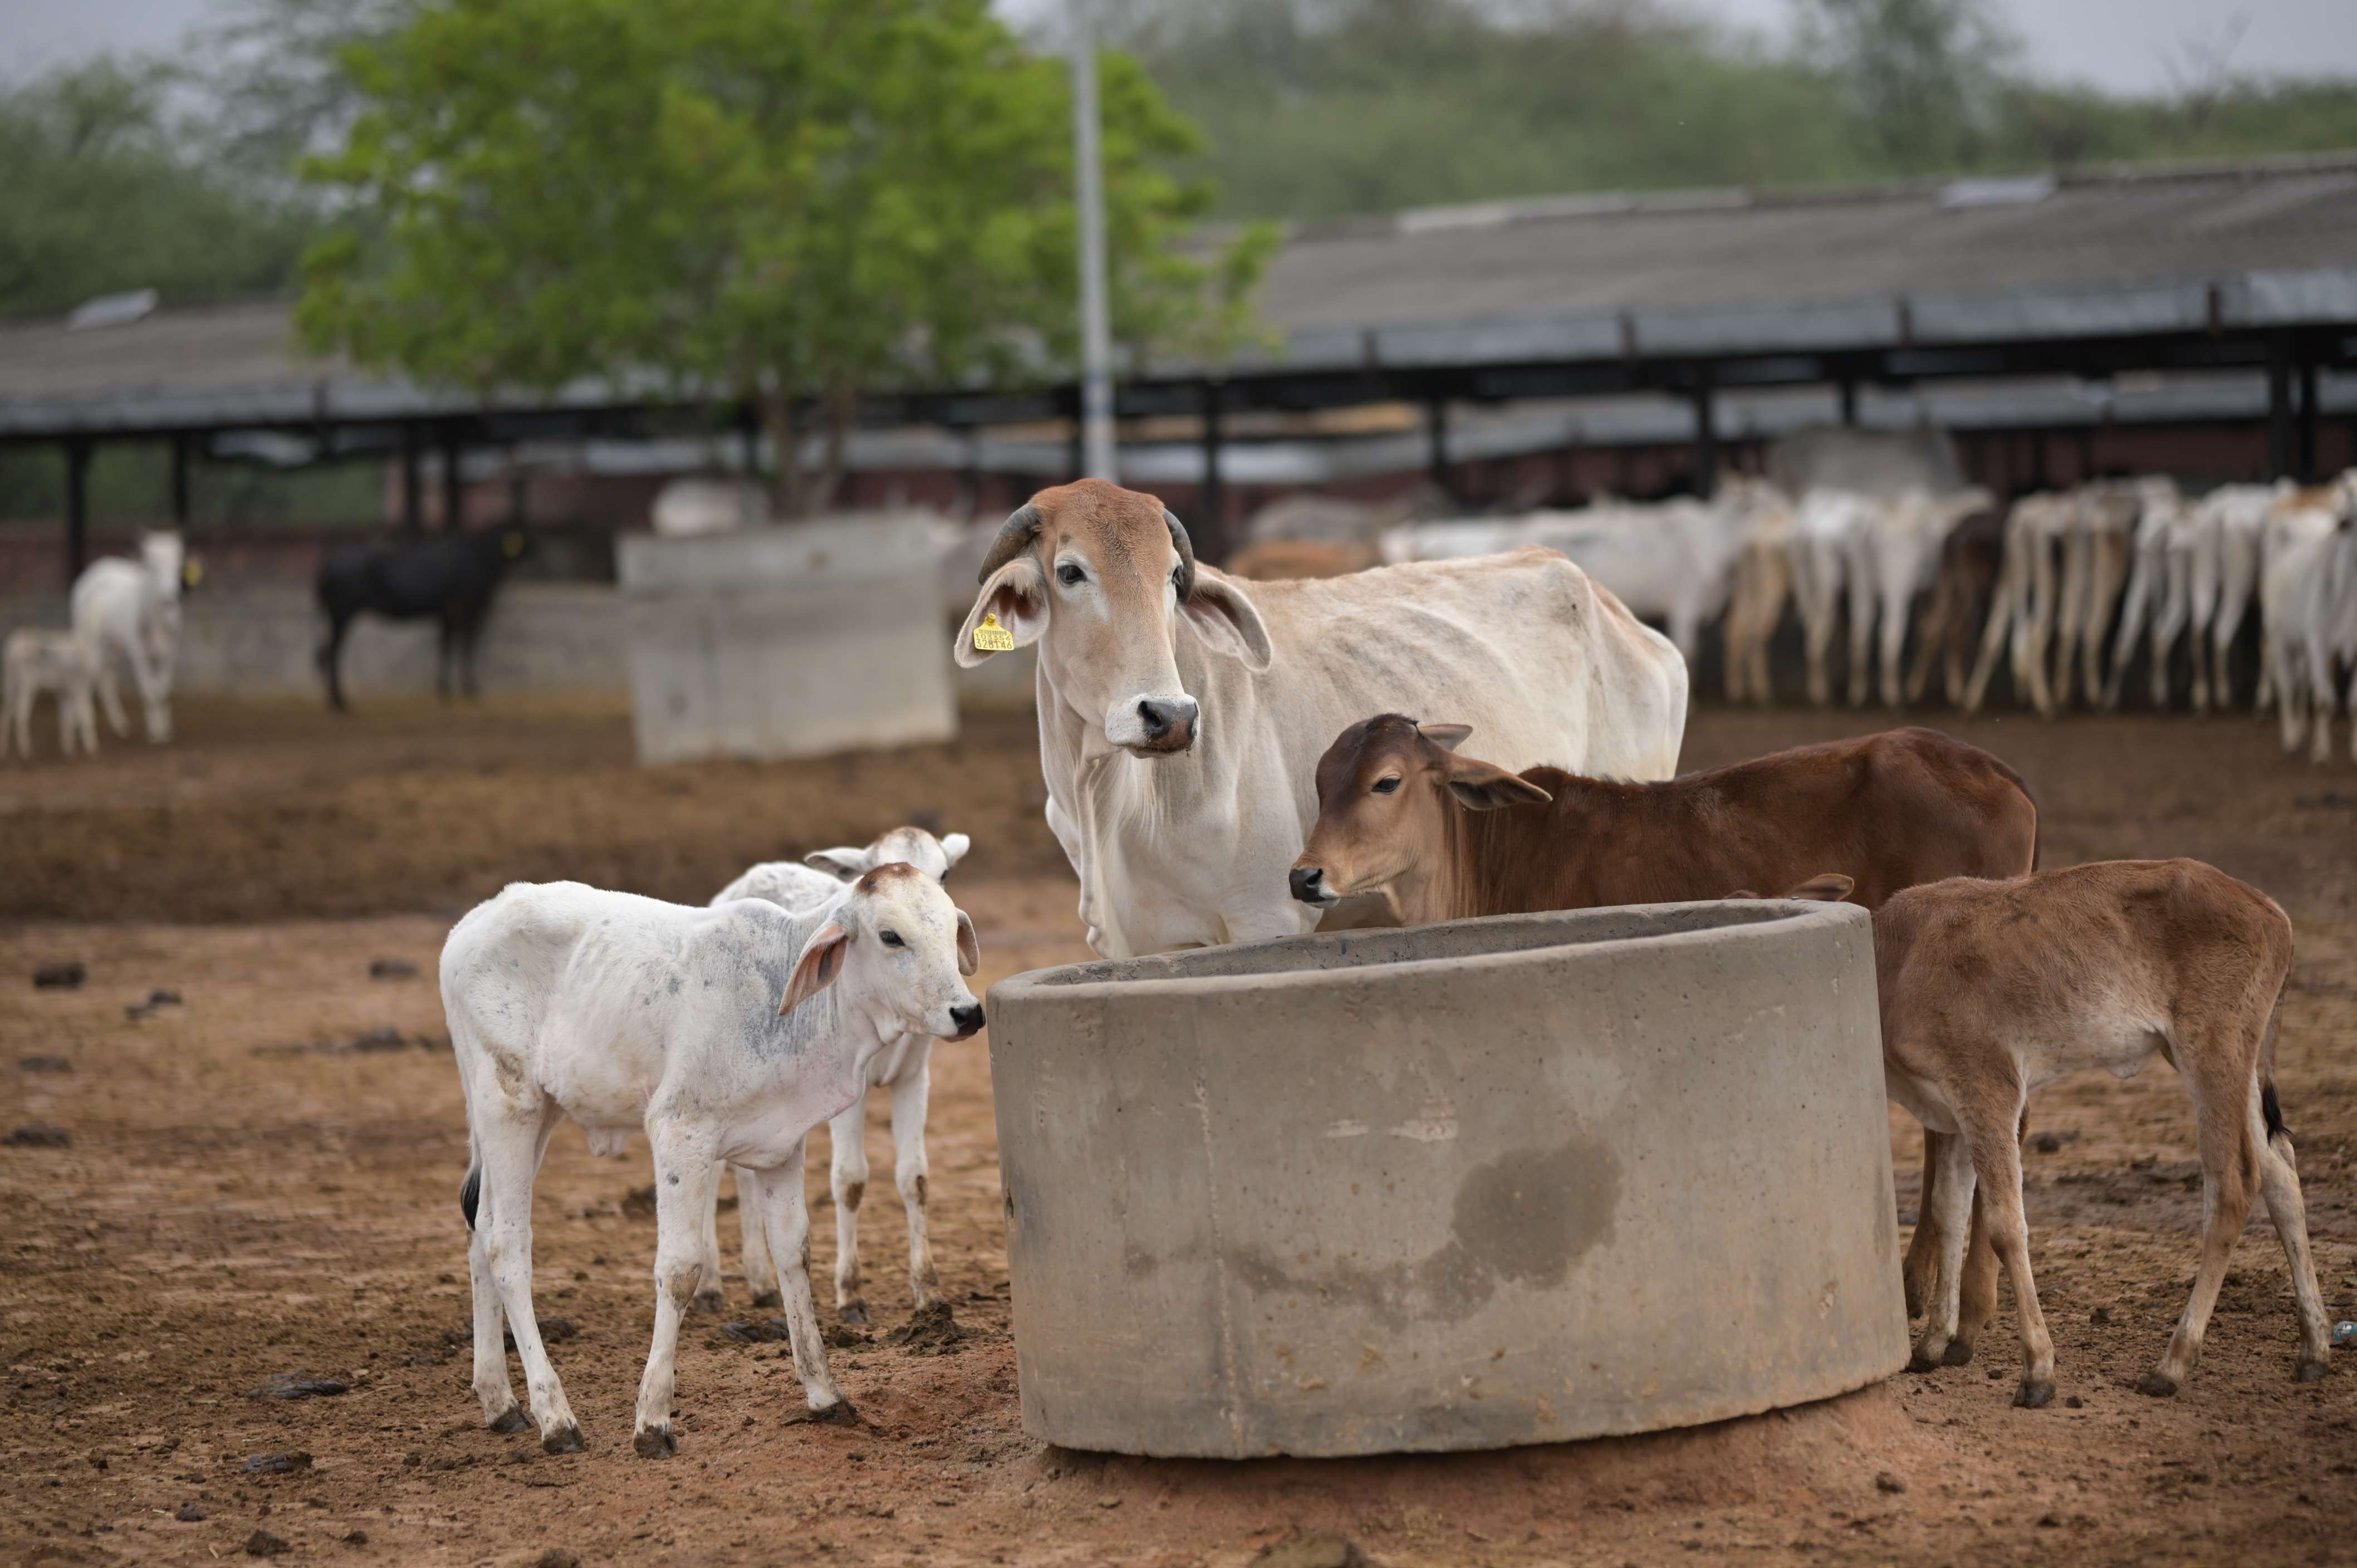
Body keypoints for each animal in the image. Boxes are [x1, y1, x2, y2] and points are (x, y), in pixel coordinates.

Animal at [316, 527, 531, 711]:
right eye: (530, 535)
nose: (539, 552)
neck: (480, 557)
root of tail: (327, 565)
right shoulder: (462, 609)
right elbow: (460, 646)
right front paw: (462, 689)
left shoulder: (446, 613)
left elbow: (448, 645)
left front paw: (449, 689)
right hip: (342, 613)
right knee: (332, 653)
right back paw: (340, 702)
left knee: (326, 653)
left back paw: (335, 701)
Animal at [952, 480, 1687, 959]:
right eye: (1071, 571)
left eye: (1171, 577)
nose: (1170, 715)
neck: (1109, 796)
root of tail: (1607, 604)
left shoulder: (1266, 916)